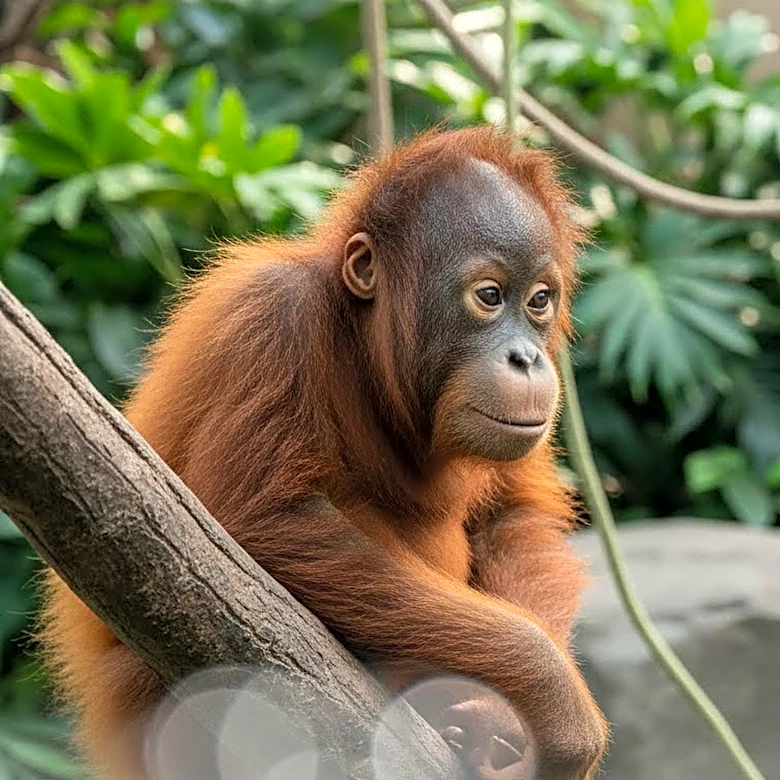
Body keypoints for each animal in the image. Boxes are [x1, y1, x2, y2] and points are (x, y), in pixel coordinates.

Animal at [39, 126, 608, 780]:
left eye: (539, 300)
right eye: (489, 296)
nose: (528, 358)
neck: (362, 348)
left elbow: (513, 516)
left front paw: (500, 715)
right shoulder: (272, 321)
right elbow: (263, 521)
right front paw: (553, 698)